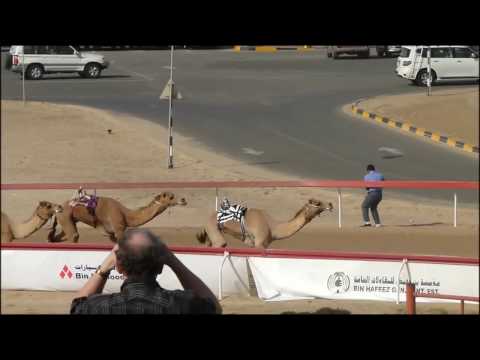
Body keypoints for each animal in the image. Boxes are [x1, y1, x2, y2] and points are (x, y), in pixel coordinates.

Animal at [48, 190, 187, 243]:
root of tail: (58, 208)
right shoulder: (119, 229)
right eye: (171, 197)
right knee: (73, 236)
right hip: (65, 217)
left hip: (67, 220)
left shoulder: (111, 233)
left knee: (59, 236)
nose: (184, 199)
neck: (126, 214)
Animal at [197, 198, 332, 249]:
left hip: (210, 235)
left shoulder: (263, 244)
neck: (273, 227)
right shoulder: (259, 243)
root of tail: (206, 220)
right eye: (318, 203)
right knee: (220, 244)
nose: (330, 204)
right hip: (214, 231)